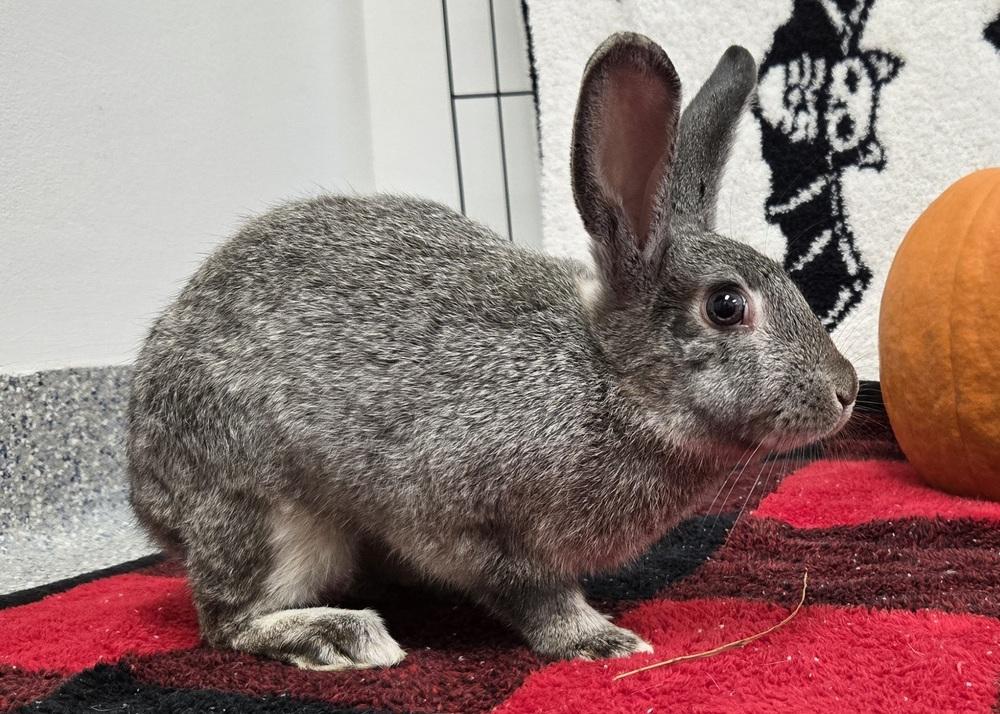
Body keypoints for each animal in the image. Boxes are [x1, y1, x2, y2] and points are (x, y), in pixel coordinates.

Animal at [127, 32, 858, 670]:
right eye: (726, 306)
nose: (846, 389)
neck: (610, 379)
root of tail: (146, 492)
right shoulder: (469, 518)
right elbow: (532, 593)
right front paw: (599, 640)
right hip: (265, 511)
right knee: (229, 620)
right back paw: (343, 637)